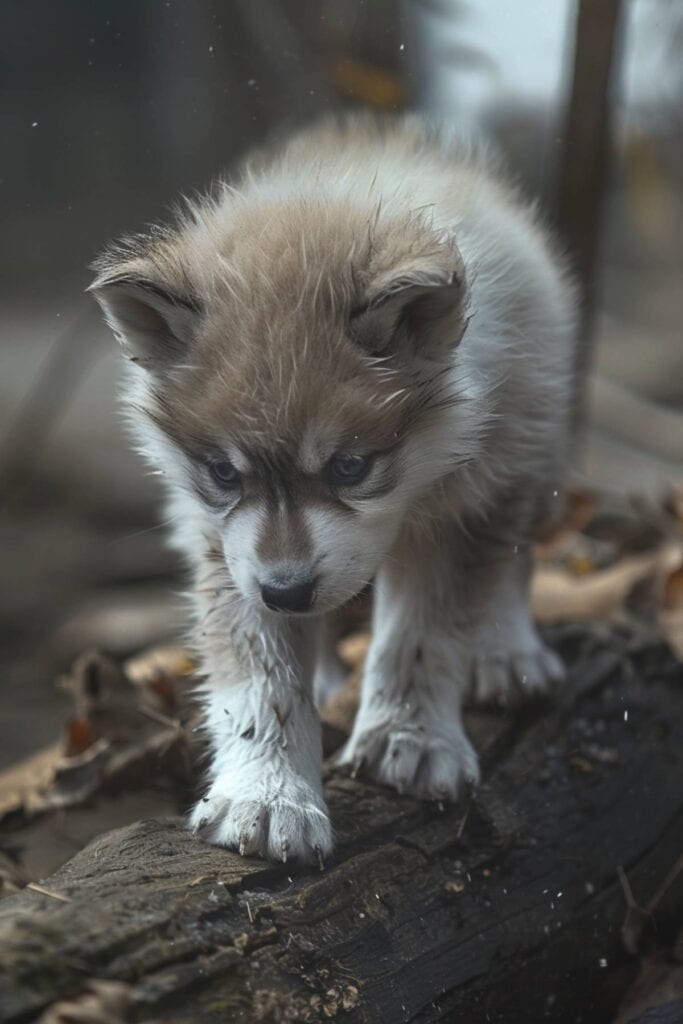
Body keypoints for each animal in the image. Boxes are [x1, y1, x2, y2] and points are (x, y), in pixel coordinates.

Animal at [90, 112, 577, 864]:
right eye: (223, 472)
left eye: (349, 467)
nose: (287, 592)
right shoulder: (228, 548)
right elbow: (260, 682)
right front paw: (267, 794)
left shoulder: (462, 511)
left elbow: (423, 636)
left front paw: (409, 735)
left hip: (533, 450)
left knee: (515, 558)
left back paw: (508, 651)